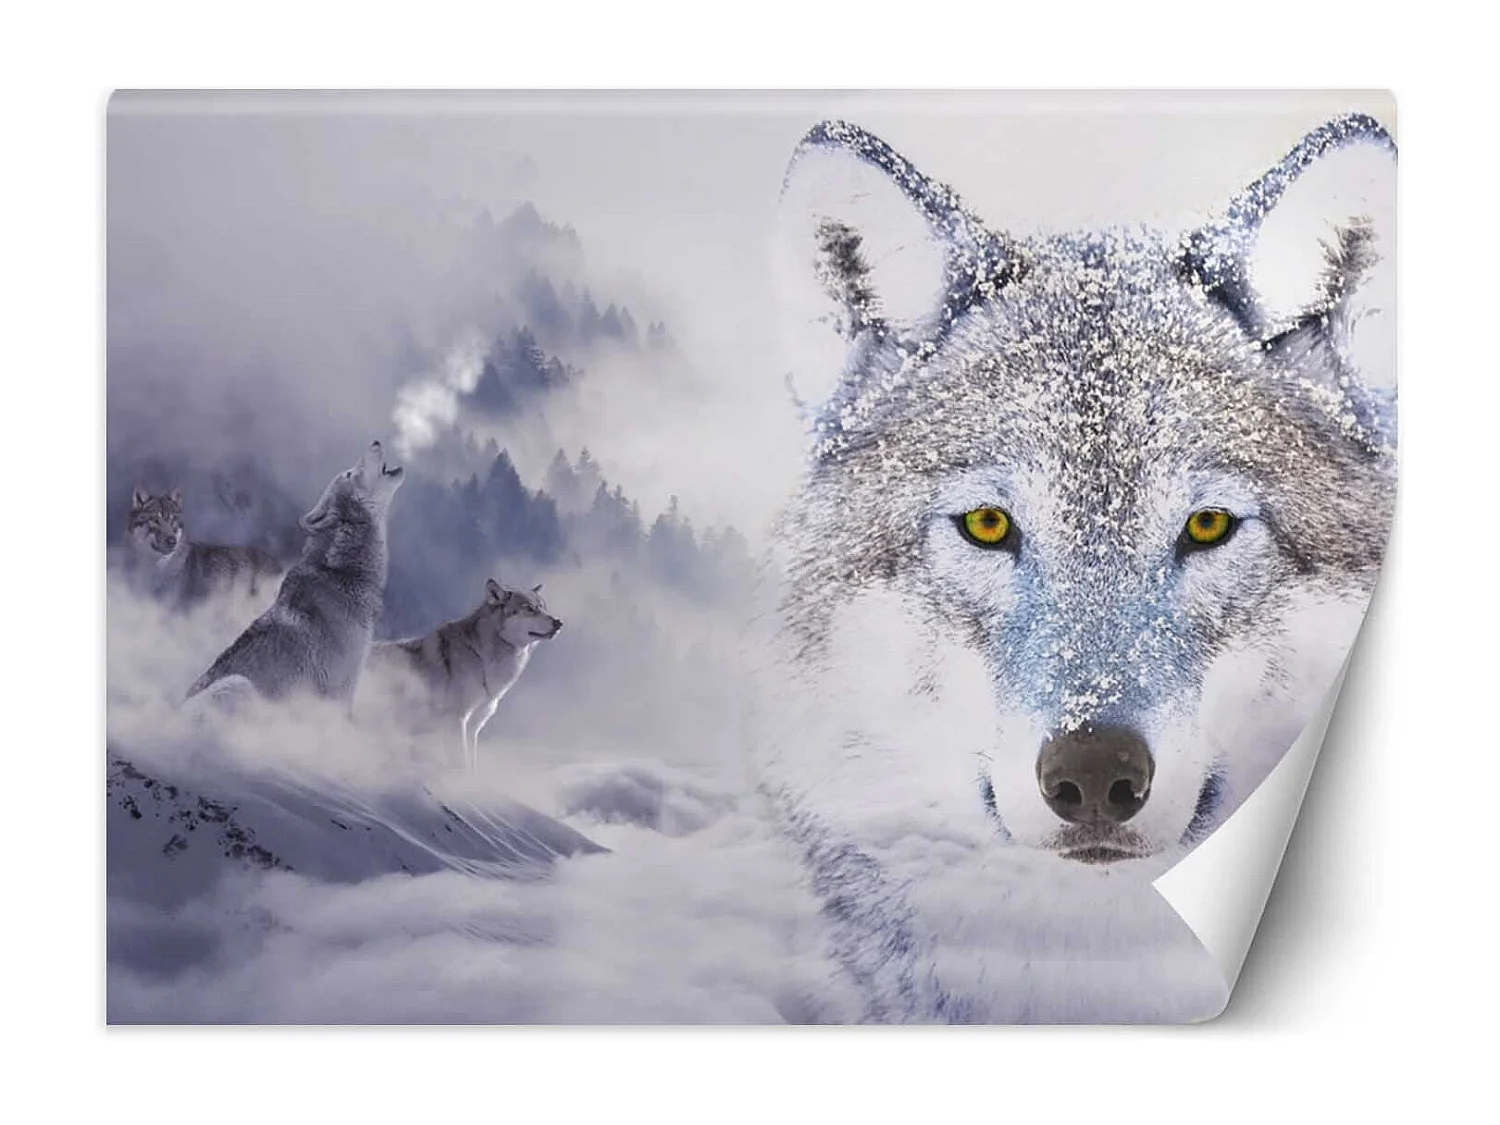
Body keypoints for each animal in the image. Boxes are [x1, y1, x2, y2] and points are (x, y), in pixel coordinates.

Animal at [367, 579, 563, 771]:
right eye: (529, 608)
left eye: (543, 608)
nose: (558, 622)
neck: (481, 657)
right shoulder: (457, 720)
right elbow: (462, 764)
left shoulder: (473, 727)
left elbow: (472, 765)